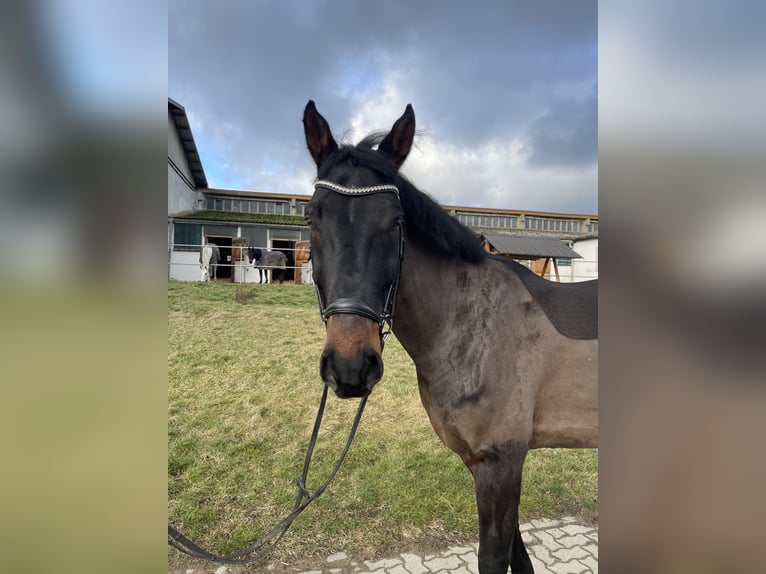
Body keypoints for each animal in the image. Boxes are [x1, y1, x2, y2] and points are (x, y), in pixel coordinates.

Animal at [302, 101, 600, 572]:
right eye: (311, 216)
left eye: (397, 221)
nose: (350, 366)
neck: (472, 326)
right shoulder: (483, 465)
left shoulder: (501, 462)